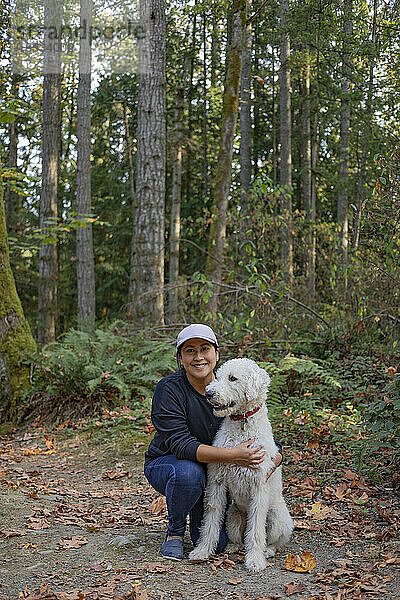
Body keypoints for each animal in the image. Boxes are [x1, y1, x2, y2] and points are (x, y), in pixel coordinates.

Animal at [189, 356, 292, 572]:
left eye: (233, 378)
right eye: (217, 377)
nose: (209, 394)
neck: (242, 422)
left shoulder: (259, 487)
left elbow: (256, 532)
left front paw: (255, 560)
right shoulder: (216, 482)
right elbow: (210, 520)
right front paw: (202, 550)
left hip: (277, 518)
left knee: (273, 541)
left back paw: (267, 551)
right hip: (233, 516)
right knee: (239, 537)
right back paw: (232, 546)